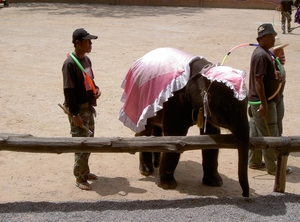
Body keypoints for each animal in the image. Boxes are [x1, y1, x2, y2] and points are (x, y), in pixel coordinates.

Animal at [118, 47, 250, 197]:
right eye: (225, 107)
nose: (244, 195)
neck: (204, 71)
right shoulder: (176, 100)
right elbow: (175, 135)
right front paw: (167, 186)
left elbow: (211, 135)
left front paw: (215, 183)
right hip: (139, 101)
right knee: (145, 129)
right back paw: (146, 171)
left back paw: (156, 163)